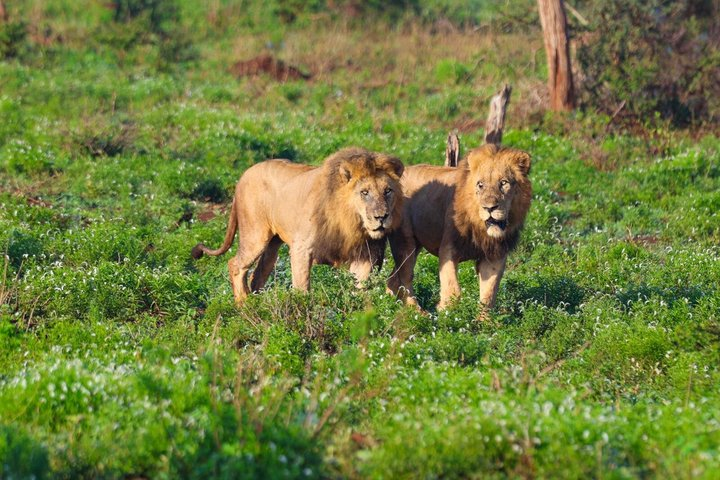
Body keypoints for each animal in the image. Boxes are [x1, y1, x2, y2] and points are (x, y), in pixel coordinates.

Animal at [192, 147, 404, 304]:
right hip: (255, 235)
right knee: (235, 265)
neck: (350, 221)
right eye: (364, 192)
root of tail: (243, 175)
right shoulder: (302, 248)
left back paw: (258, 304)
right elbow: (302, 288)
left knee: (258, 274)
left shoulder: (366, 255)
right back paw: (244, 305)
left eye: (388, 191)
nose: (381, 217)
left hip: (272, 244)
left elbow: (359, 289)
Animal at [387, 144, 531, 317]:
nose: (489, 208)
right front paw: (446, 311)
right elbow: (452, 288)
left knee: (392, 280)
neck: (480, 228)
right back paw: (417, 313)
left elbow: (488, 293)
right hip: (405, 243)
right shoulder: (449, 248)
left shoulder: (494, 256)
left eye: (503, 183)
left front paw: (484, 321)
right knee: (405, 278)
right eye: (480, 184)